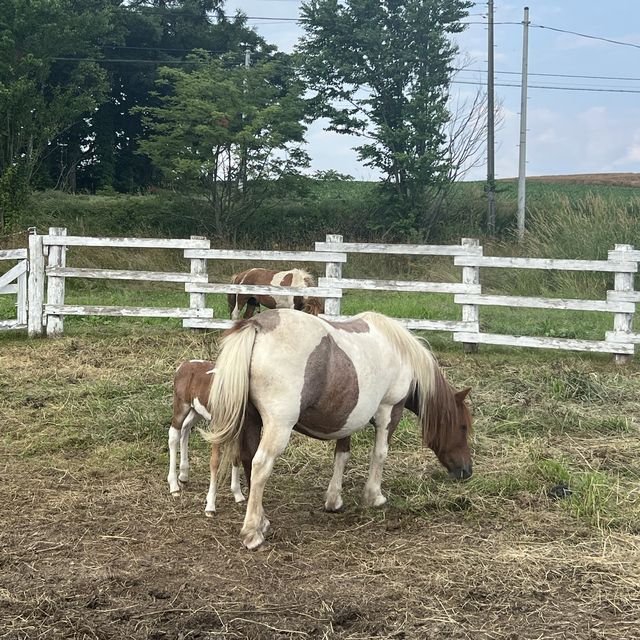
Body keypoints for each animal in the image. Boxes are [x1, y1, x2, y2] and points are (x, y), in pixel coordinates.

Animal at [166, 360, 244, 516]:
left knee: (186, 429)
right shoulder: (216, 429)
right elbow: (214, 462)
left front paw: (238, 495)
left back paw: (183, 477)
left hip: (196, 411)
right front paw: (210, 507)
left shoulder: (239, 430)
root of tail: (184, 365)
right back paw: (174, 487)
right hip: (181, 406)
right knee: (174, 435)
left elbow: (236, 456)